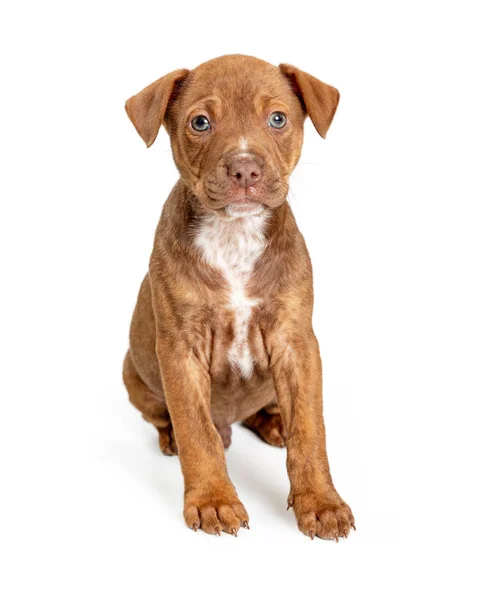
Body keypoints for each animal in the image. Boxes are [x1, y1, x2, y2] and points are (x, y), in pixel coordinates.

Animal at [124, 54, 356, 540]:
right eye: (200, 122)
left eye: (278, 119)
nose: (246, 169)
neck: (234, 234)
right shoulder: (181, 349)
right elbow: (197, 430)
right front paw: (214, 500)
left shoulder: (296, 343)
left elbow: (311, 430)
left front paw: (321, 503)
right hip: (133, 373)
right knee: (169, 417)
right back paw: (173, 437)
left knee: (262, 413)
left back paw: (274, 422)